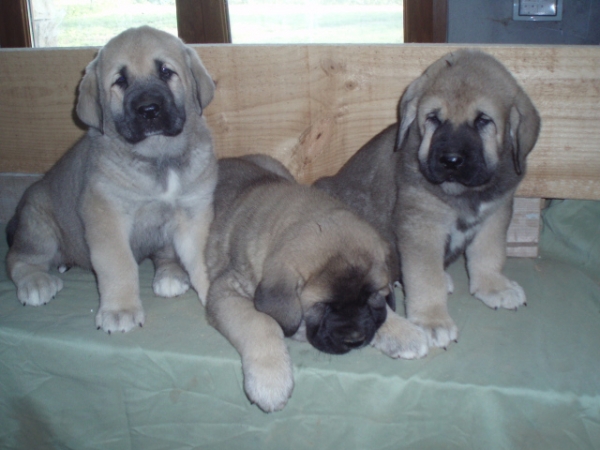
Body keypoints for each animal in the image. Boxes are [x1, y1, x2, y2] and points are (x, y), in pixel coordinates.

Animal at [5, 25, 218, 334]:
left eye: (166, 72)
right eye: (120, 81)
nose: (149, 109)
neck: (158, 157)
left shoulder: (193, 214)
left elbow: (203, 259)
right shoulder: (107, 216)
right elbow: (118, 264)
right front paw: (120, 310)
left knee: (165, 255)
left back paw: (170, 274)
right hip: (39, 224)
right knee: (19, 259)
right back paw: (36, 282)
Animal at [206, 155, 426, 412]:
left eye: (371, 296)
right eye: (323, 306)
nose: (355, 340)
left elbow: (381, 313)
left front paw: (403, 331)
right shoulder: (225, 291)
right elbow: (260, 322)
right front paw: (270, 380)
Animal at [316, 51, 540, 350]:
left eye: (483, 120)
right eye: (434, 118)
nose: (451, 160)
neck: (462, 193)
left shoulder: (496, 214)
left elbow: (488, 254)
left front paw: (493, 285)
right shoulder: (422, 226)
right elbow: (425, 278)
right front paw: (432, 320)